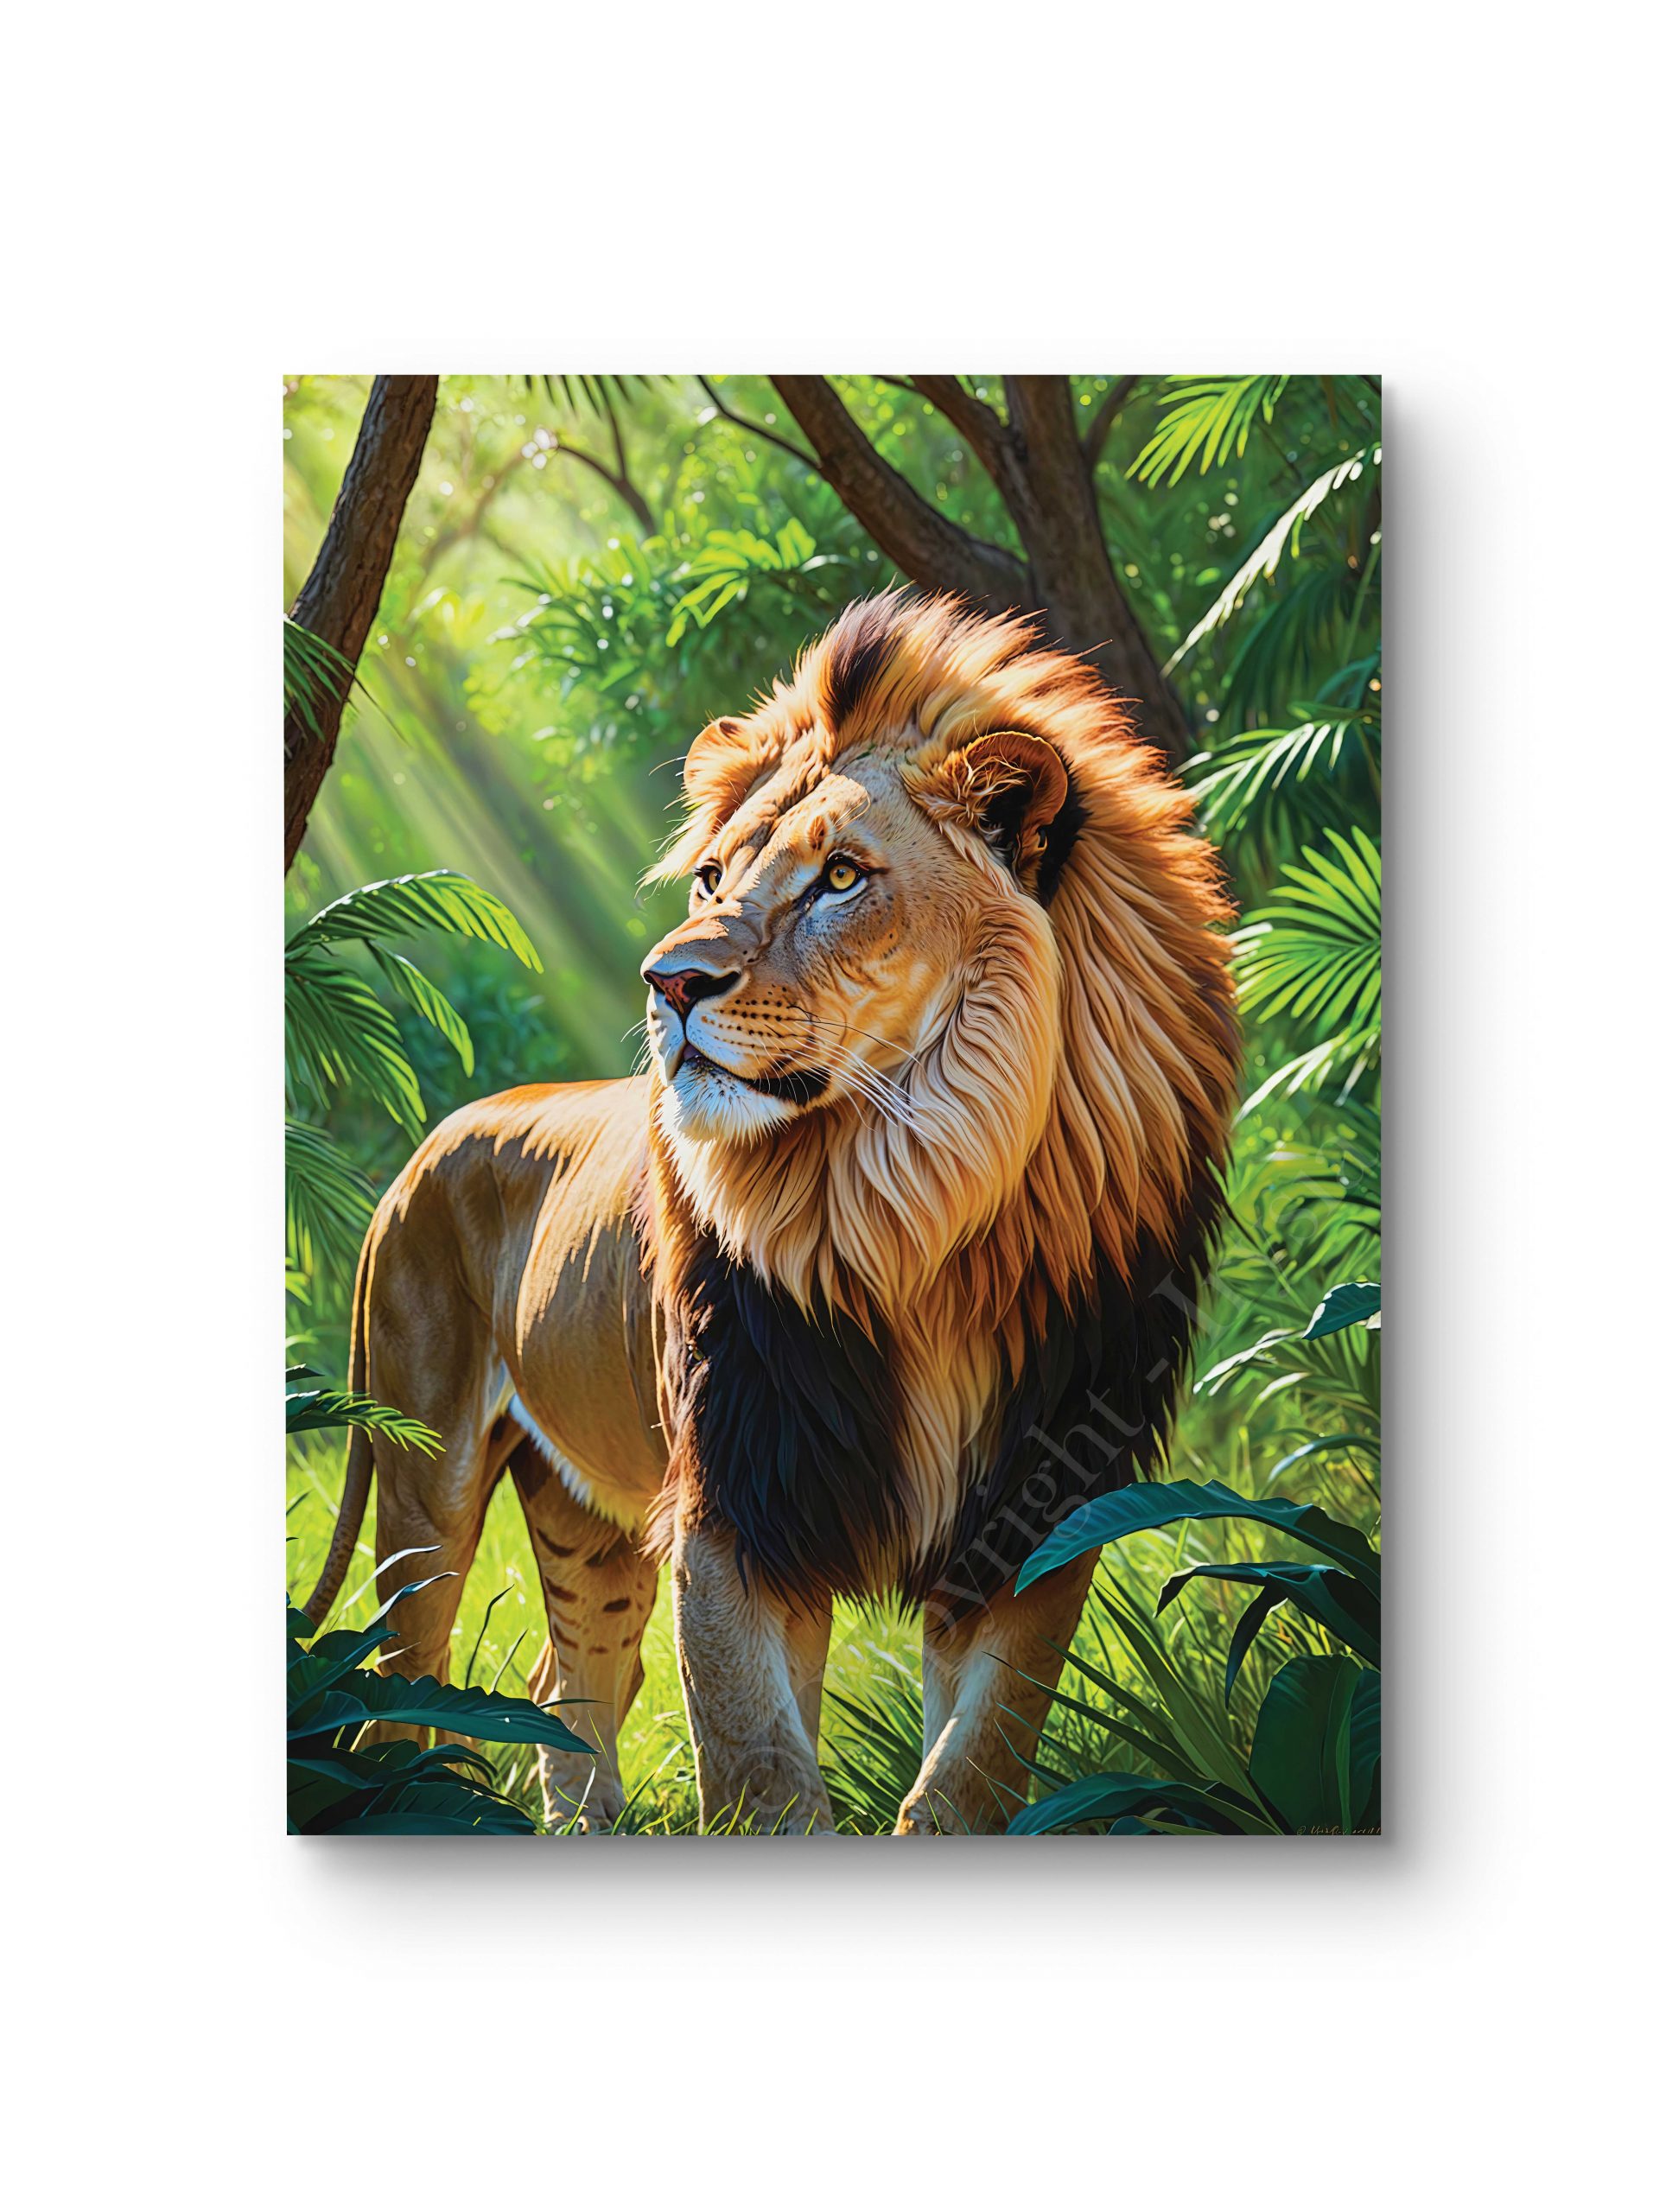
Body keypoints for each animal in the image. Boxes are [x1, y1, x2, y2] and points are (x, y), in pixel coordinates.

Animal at [302, 592, 1239, 1834]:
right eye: (709, 879)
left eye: (840, 876)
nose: (667, 981)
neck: (914, 1212)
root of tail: (425, 1148)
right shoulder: (735, 1505)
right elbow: (761, 1770)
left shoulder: (1038, 1506)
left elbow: (974, 1770)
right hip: (424, 1474)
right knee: (403, 1686)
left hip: (581, 1507)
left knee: (564, 1678)